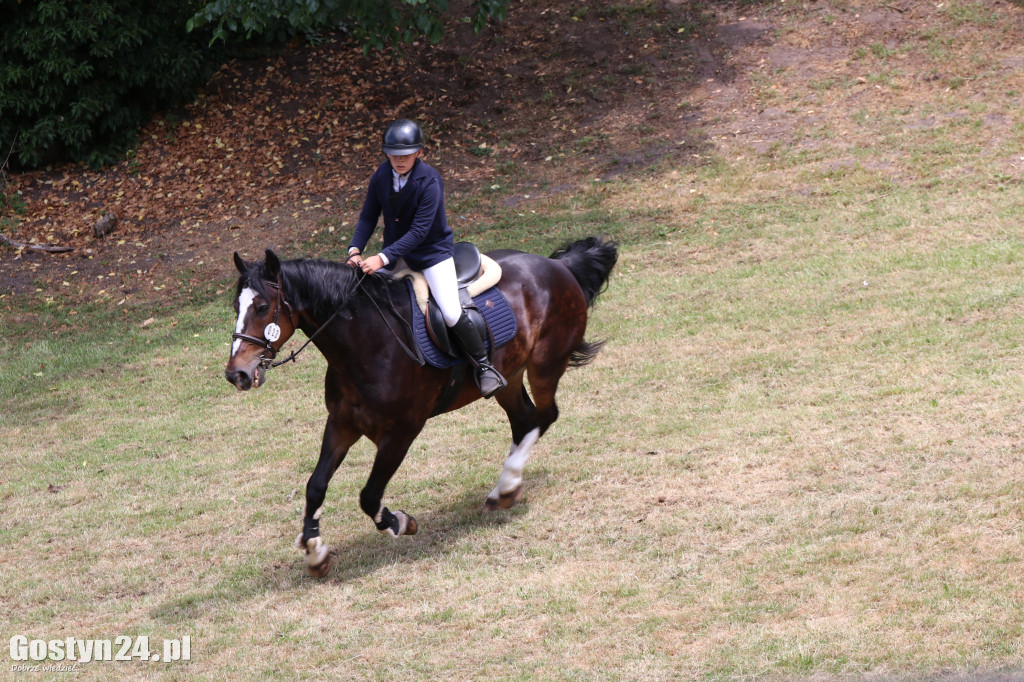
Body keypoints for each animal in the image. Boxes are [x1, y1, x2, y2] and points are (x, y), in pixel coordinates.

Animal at [224, 236, 618, 577]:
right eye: (236, 308)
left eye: (262, 307)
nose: (236, 374)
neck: (366, 345)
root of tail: (557, 265)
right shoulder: (341, 424)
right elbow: (315, 486)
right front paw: (315, 551)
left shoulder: (402, 432)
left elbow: (369, 496)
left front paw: (400, 522)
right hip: (509, 374)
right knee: (524, 420)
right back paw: (505, 489)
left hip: (545, 365)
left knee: (544, 415)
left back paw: (506, 485)